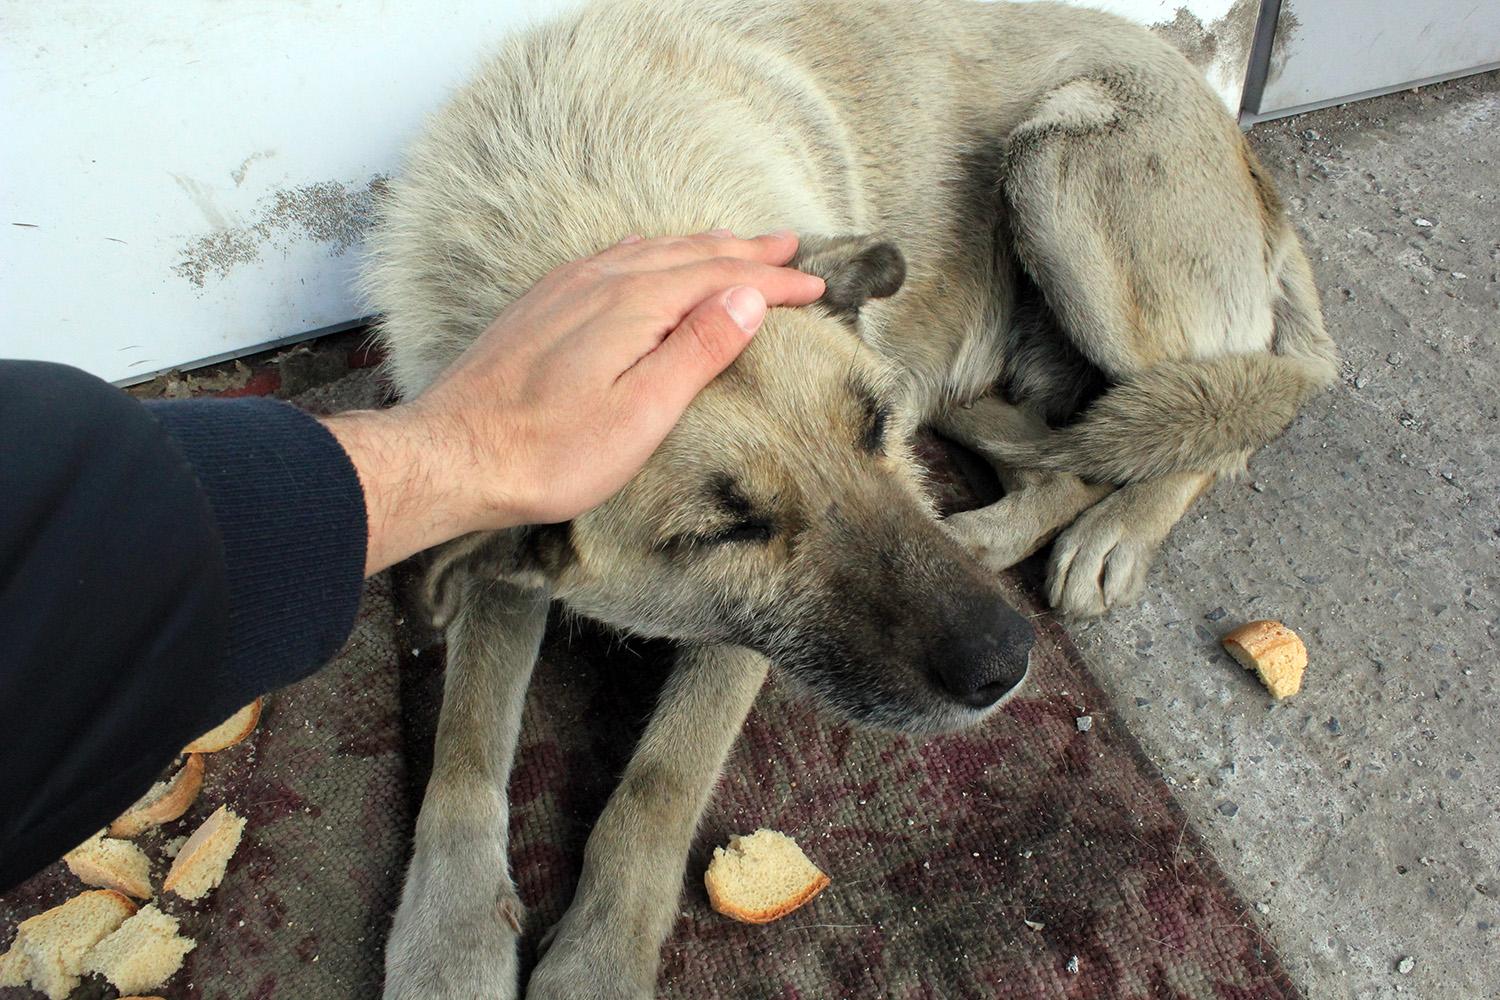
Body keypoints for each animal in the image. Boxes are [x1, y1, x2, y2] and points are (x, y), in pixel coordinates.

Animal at [366, 3, 1338, 995]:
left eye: (873, 426)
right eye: (728, 530)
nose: (1008, 662)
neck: (590, 201)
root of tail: (1239, 145)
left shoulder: (738, 645)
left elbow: (659, 784)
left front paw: (600, 957)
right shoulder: (505, 545)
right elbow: (464, 746)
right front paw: (450, 935)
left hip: (1058, 172)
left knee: (1214, 414)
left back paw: (1116, 531)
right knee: (1079, 445)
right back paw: (992, 513)